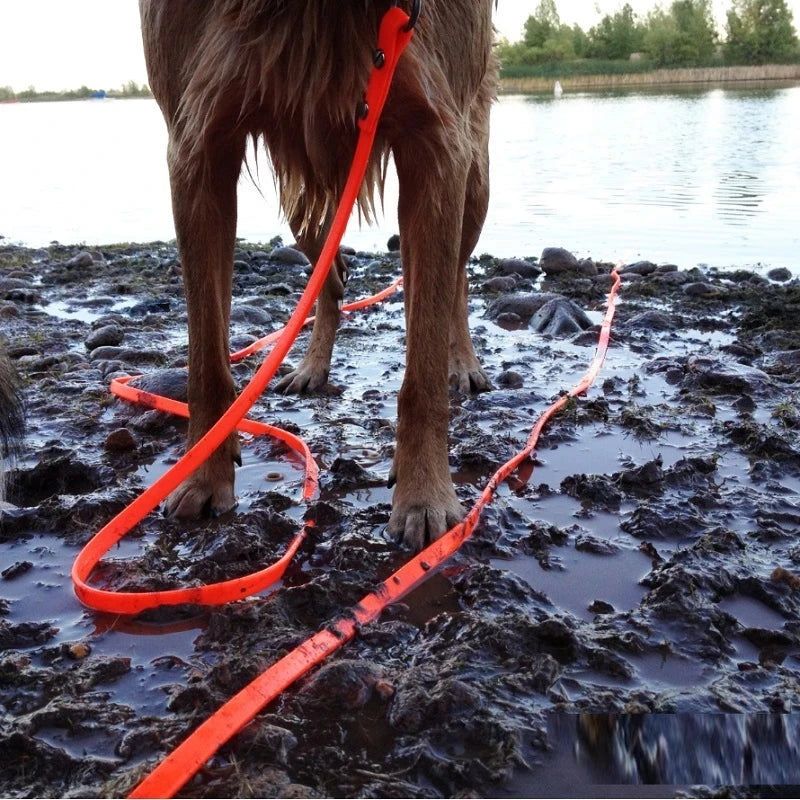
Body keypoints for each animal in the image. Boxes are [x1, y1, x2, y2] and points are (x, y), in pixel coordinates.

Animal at [141, 0, 496, 552]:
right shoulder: (197, 142)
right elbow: (206, 359)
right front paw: (202, 477)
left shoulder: (439, 142)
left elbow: (423, 370)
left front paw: (424, 497)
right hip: (303, 202)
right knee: (333, 276)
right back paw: (312, 367)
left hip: (473, 180)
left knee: (453, 277)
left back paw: (462, 362)